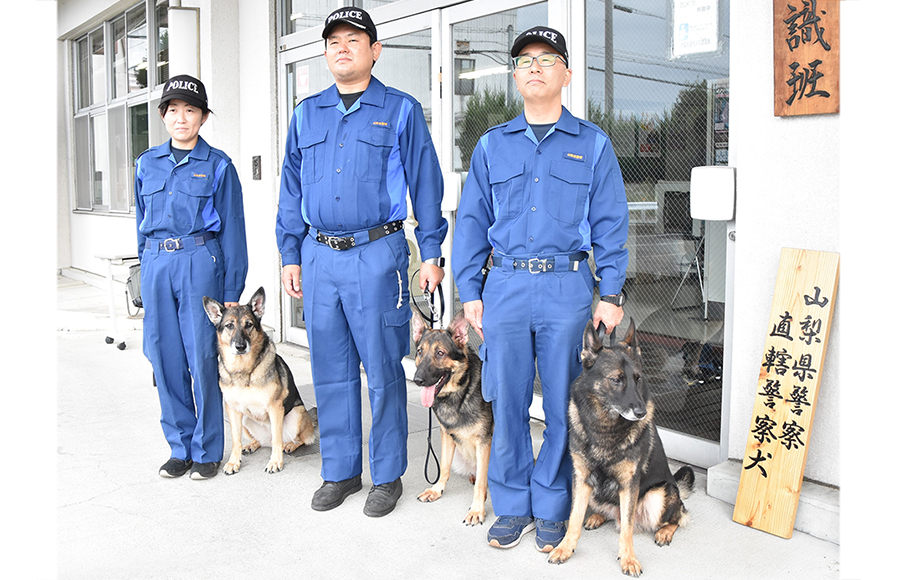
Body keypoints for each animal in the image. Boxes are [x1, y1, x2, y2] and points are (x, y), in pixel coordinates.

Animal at [203, 288, 316, 476]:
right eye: (229, 326)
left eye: (248, 324)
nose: (240, 347)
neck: (243, 370)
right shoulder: (232, 408)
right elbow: (235, 440)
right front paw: (234, 462)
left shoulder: (275, 407)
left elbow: (277, 439)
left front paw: (275, 462)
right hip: (246, 420)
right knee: (261, 441)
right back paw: (251, 445)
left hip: (297, 414)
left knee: (295, 439)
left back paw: (290, 445)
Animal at [414, 310, 492, 528]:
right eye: (420, 352)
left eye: (440, 353)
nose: (417, 380)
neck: (460, 392)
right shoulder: (447, 436)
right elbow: (444, 467)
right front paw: (436, 490)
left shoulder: (484, 442)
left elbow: (481, 483)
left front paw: (477, 509)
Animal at [548, 320, 696, 576]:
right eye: (616, 379)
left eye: (638, 378)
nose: (641, 413)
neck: (604, 428)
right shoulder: (581, 478)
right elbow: (574, 517)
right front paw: (565, 548)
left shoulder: (629, 485)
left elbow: (627, 528)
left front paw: (628, 559)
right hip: (596, 491)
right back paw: (597, 517)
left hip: (659, 495)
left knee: (678, 516)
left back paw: (665, 532)